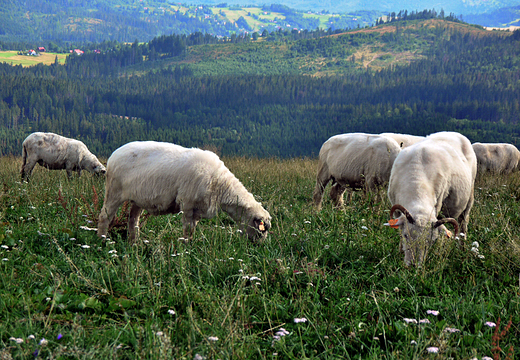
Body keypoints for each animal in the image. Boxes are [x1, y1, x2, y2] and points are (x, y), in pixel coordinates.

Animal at [98, 141, 274, 242]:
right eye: (262, 229)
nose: (258, 246)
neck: (221, 185)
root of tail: (114, 154)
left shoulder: (197, 209)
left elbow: (192, 230)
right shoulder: (188, 203)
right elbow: (187, 230)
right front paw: (185, 251)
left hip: (138, 198)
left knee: (133, 220)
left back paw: (134, 244)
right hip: (114, 190)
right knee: (105, 216)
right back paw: (102, 240)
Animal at [386, 131, 476, 266]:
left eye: (431, 241)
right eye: (406, 235)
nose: (413, 265)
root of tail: (452, 132)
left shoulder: (437, 204)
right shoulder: (396, 209)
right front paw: (400, 251)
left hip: (469, 198)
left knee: (463, 224)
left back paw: (462, 249)